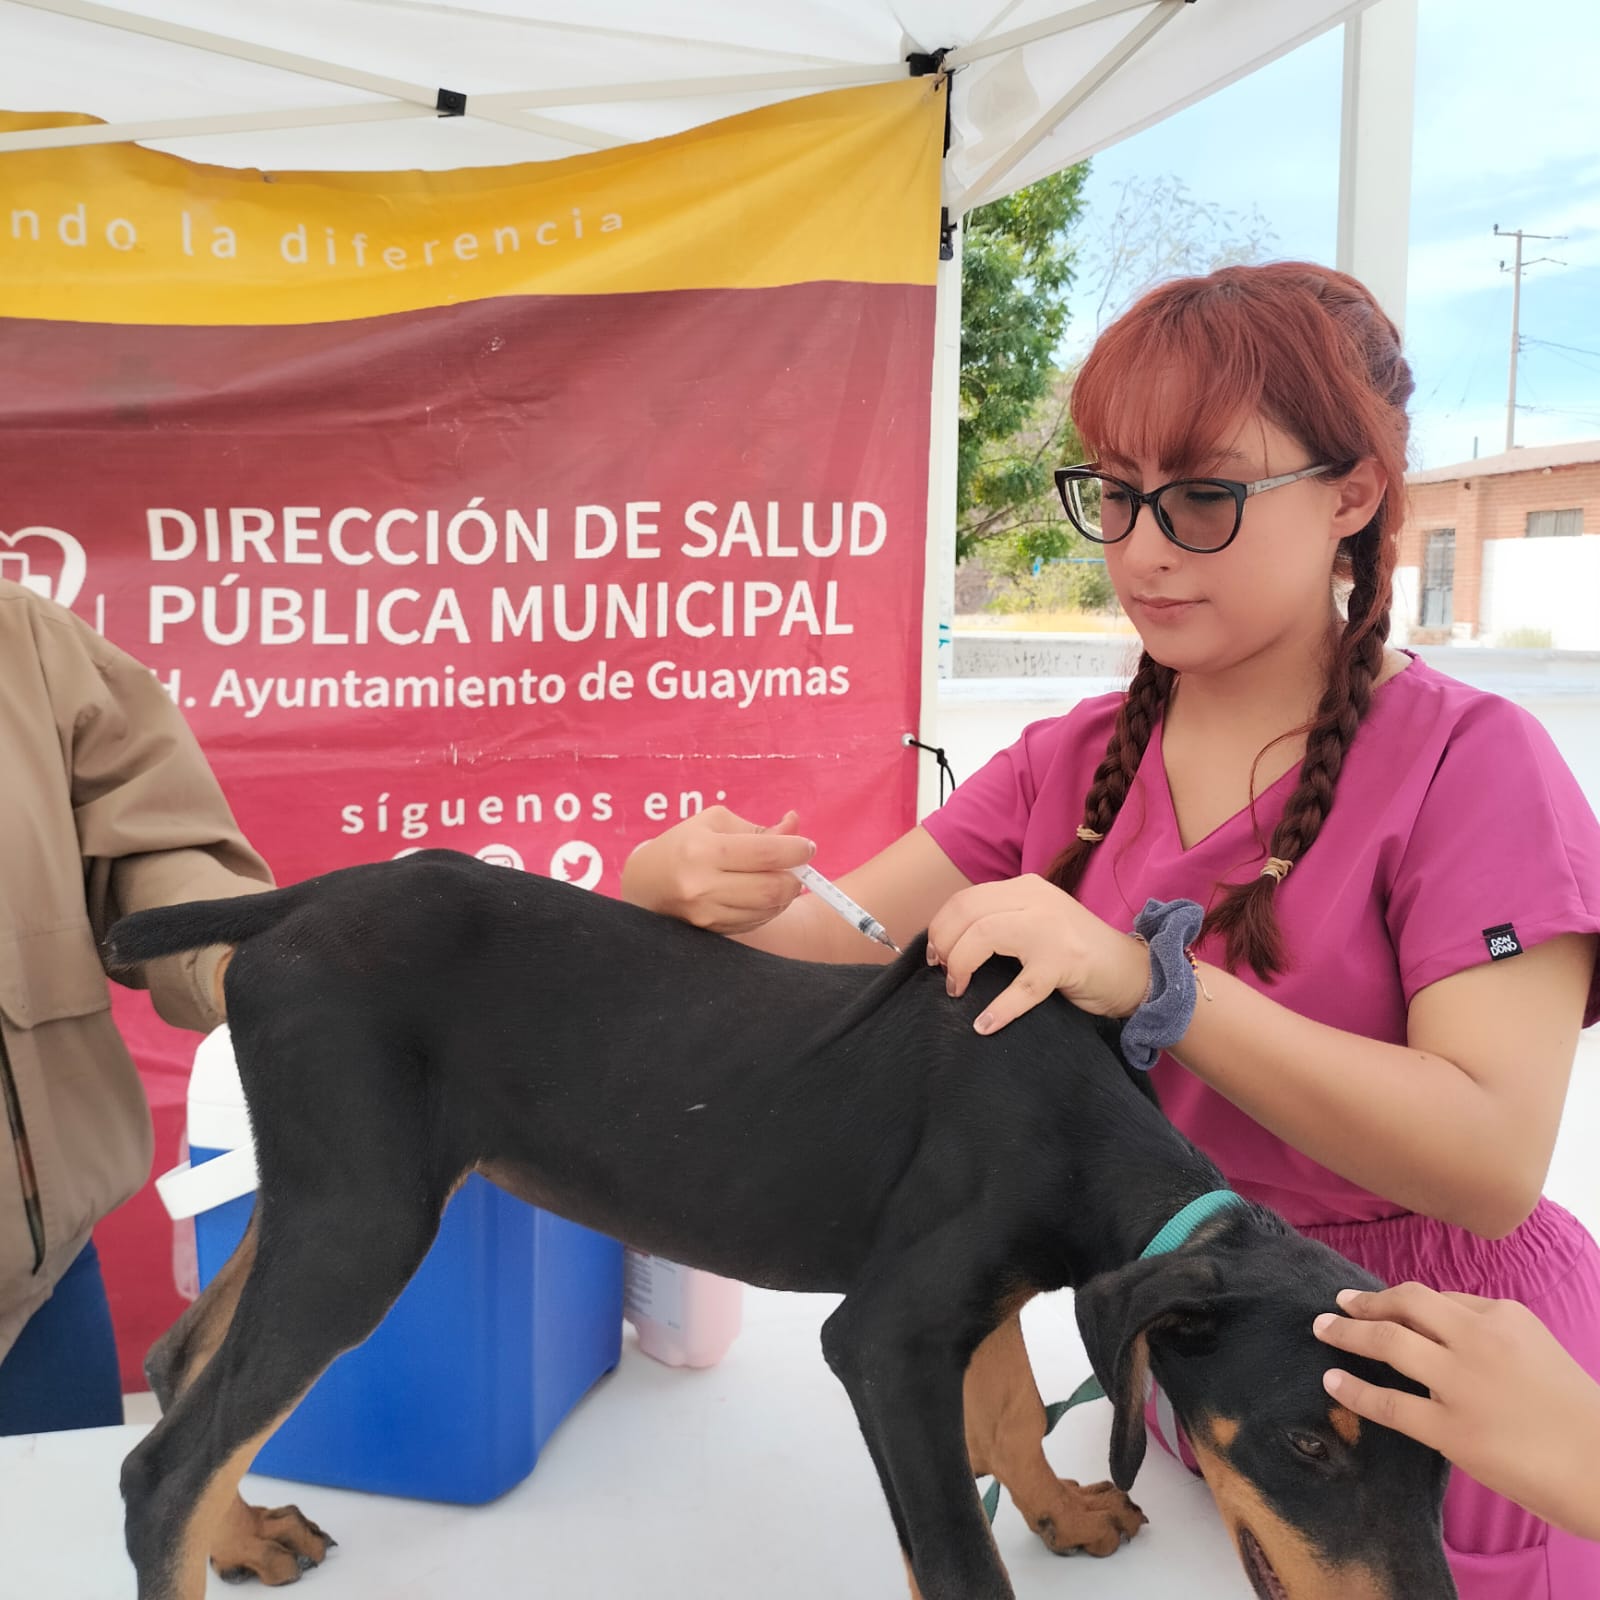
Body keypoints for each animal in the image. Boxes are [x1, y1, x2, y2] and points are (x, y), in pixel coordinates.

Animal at [112, 851, 1459, 1600]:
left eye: (1440, 1463)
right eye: (1308, 1445)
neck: (1077, 1118)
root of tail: (298, 901)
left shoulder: (984, 1291)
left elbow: (1009, 1407)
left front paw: (1058, 1509)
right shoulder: (882, 1340)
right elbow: (958, 1558)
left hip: (336, 1186)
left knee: (182, 1369)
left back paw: (246, 1535)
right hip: (366, 1218)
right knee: (164, 1466)